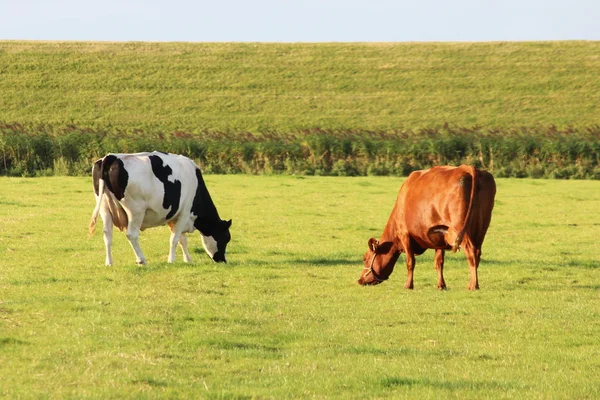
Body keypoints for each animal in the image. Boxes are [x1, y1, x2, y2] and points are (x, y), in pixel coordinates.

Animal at [89, 152, 232, 268]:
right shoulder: (184, 213)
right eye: (225, 238)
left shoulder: (174, 217)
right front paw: (171, 260)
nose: (223, 261)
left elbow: (182, 240)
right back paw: (141, 260)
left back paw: (109, 262)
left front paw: (188, 259)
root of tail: (111, 157)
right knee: (132, 234)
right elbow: (175, 239)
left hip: (104, 208)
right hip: (136, 210)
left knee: (107, 234)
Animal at [358, 165, 494, 290]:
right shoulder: (439, 237)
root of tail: (466, 168)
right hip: (481, 228)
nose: (360, 280)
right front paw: (441, 285)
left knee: (471, 252)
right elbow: (439, 262)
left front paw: (408, 285)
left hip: (461, 229)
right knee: (477, 253)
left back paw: (473, 285)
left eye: (365, 258)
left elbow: (410, 262)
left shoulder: (404, 234)